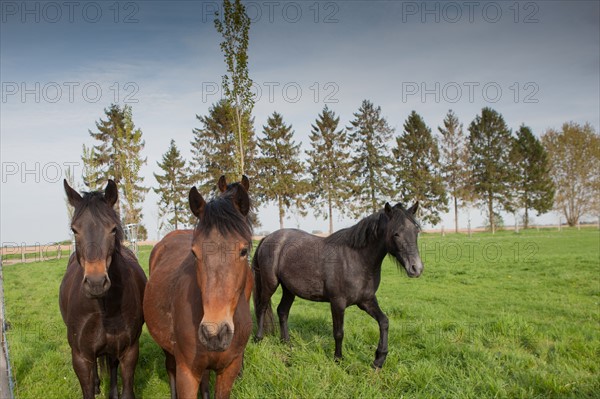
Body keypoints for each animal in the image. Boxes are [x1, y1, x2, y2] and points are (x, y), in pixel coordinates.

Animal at [59, 180, 146, 399]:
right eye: (74, 229)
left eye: (113, 229)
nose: (96, 283)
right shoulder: (81, 357)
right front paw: (96, 386)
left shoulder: (129, 350)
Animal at [145, 177, 253, 398]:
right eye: (194, 253)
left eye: (244, 251)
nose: (214, 333)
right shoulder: (187, 372)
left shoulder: (229, 369)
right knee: (170, 368)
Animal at [253, 202, 426, 370]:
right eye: (396, 233)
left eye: (416, 231)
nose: (416, 268)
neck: (356, 259)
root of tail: (267, 238)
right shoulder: (337, 302)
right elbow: (338, 332)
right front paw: (338, 359)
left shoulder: (366, 301)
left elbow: (384, 321)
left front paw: (379, 360)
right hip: (270, 284)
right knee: (262, 308)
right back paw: (258, 339)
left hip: (289, 289)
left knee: (282, 311)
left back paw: (287, 343)